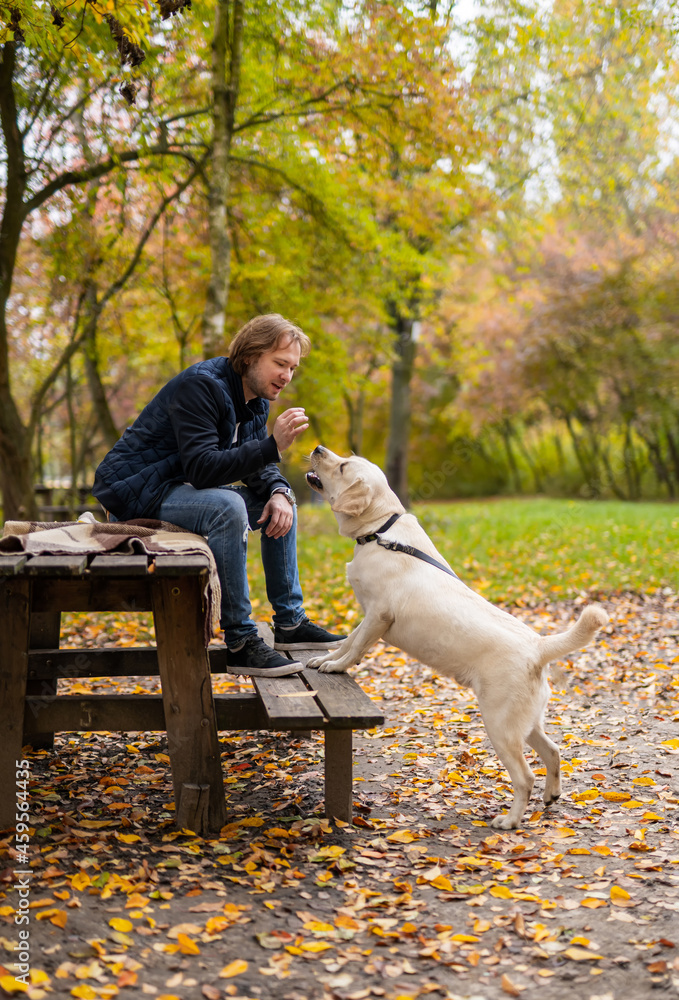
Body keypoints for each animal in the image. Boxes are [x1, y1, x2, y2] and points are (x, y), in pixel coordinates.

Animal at [306, 446, 608, 828]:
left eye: (343, 466)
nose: (318, 449)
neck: (381, 531)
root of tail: (538, 646)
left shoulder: (379, 614)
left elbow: (356, 646)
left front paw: (337, 667)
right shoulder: (368, 615)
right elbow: (347, 640)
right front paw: (325, 659)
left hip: (499, 724)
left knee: (525, 777)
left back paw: (510, 821)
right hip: (525, 722)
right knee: (553, 752)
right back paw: (551, 795)